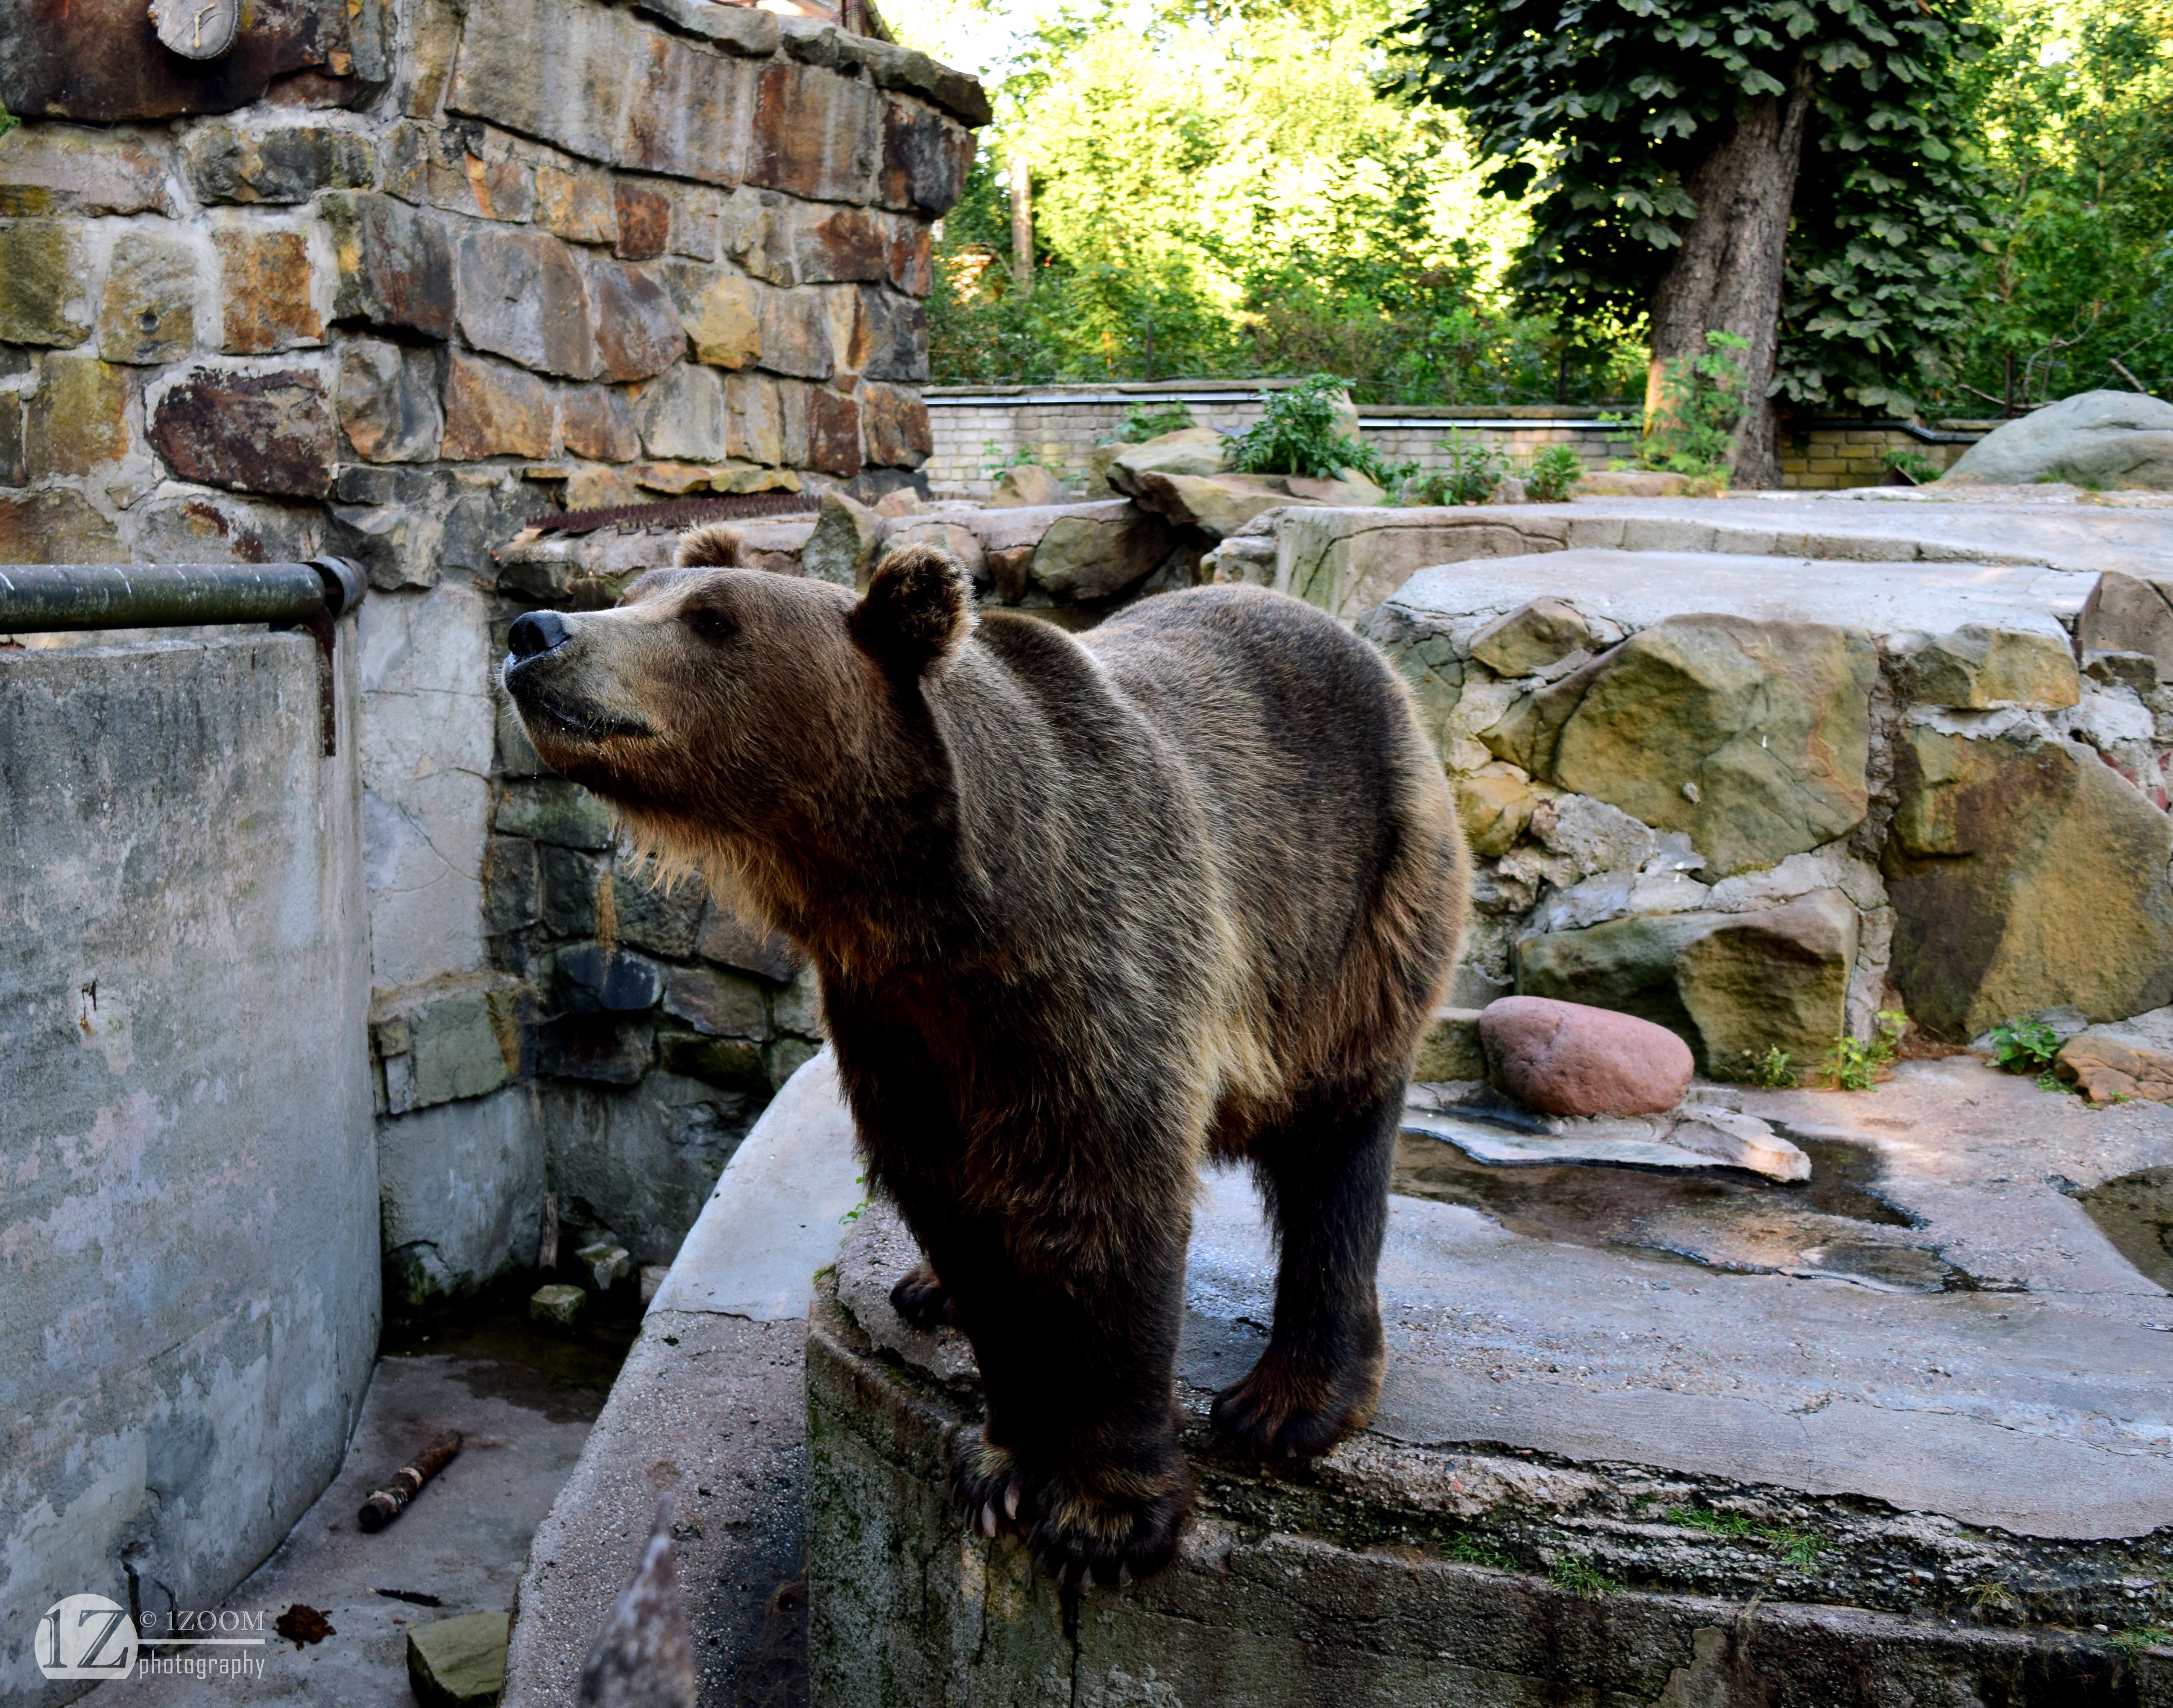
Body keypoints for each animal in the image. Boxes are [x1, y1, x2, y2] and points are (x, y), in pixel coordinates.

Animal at [501, 524, 1468, 1585]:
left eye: (712, 618)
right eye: (639, 589)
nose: (535, 632)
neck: (933, 904)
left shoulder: (1100, 963)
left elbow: (1105, 1204)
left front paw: (1101, 1516)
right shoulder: (898, 1021)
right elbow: (958, 1206)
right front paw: (1001, 1462)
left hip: (1356, 906)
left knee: (1337, 1141)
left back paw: (1287, 1402)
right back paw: (927, 1290)